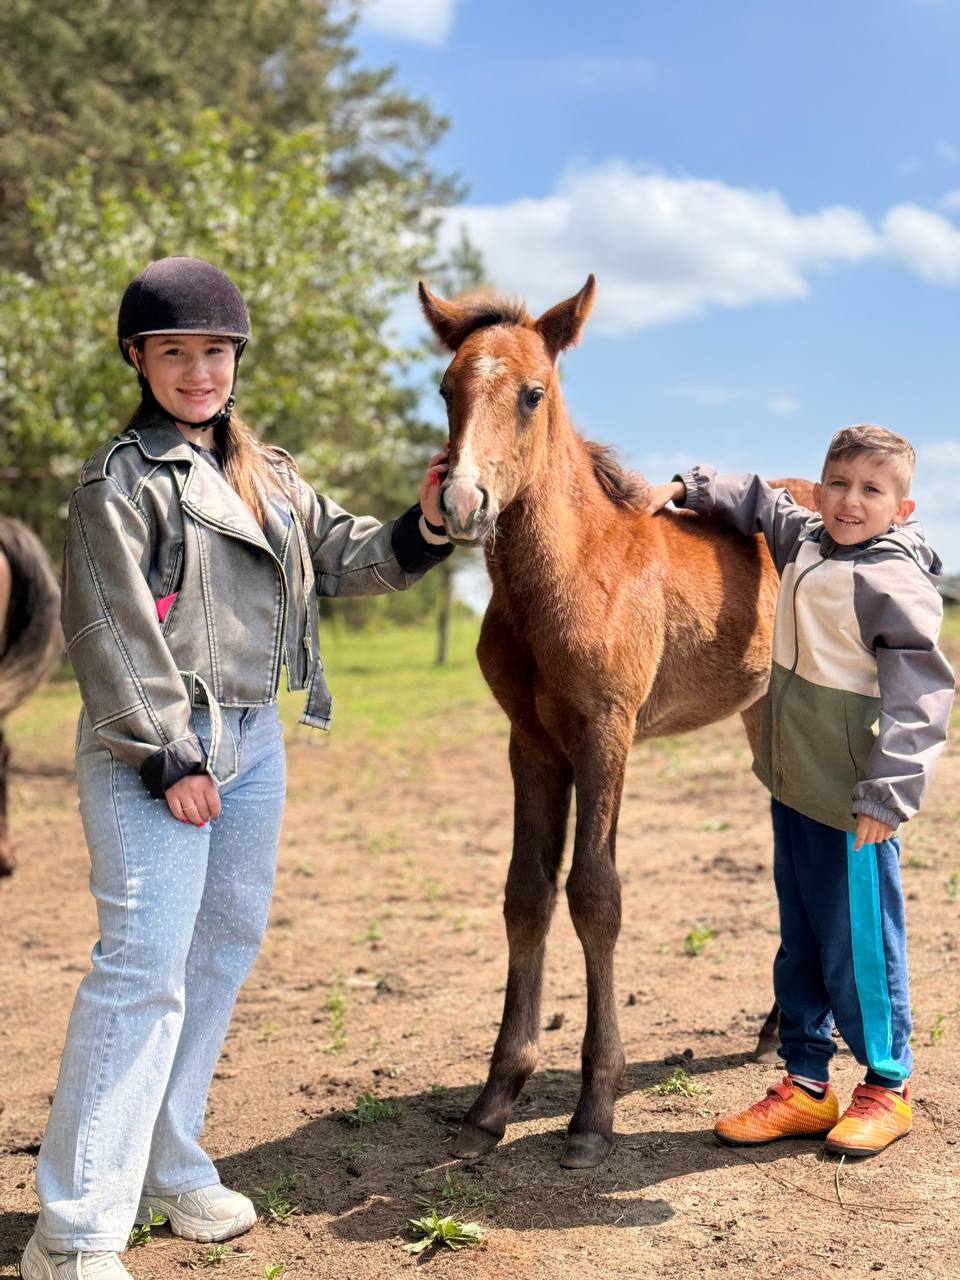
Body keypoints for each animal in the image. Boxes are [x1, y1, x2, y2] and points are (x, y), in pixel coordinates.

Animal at [419, 277, 814, 1172]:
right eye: (447, 388)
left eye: (533, 394)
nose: (461, 502)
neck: (573, 570)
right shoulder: (530, 742)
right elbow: (526, 892)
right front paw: (495, 1098)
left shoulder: (608, 730)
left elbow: (595, 893)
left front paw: (593, 1111)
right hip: (768, 713)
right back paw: (777, 1026)